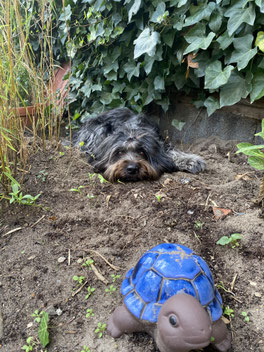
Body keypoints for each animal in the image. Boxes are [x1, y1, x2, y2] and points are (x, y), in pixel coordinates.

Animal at [72, 108, 206, 183]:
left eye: (142, 152)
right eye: (120, 152)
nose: (132, 169)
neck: (132, 130)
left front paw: (192, 160)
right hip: (97, 130)